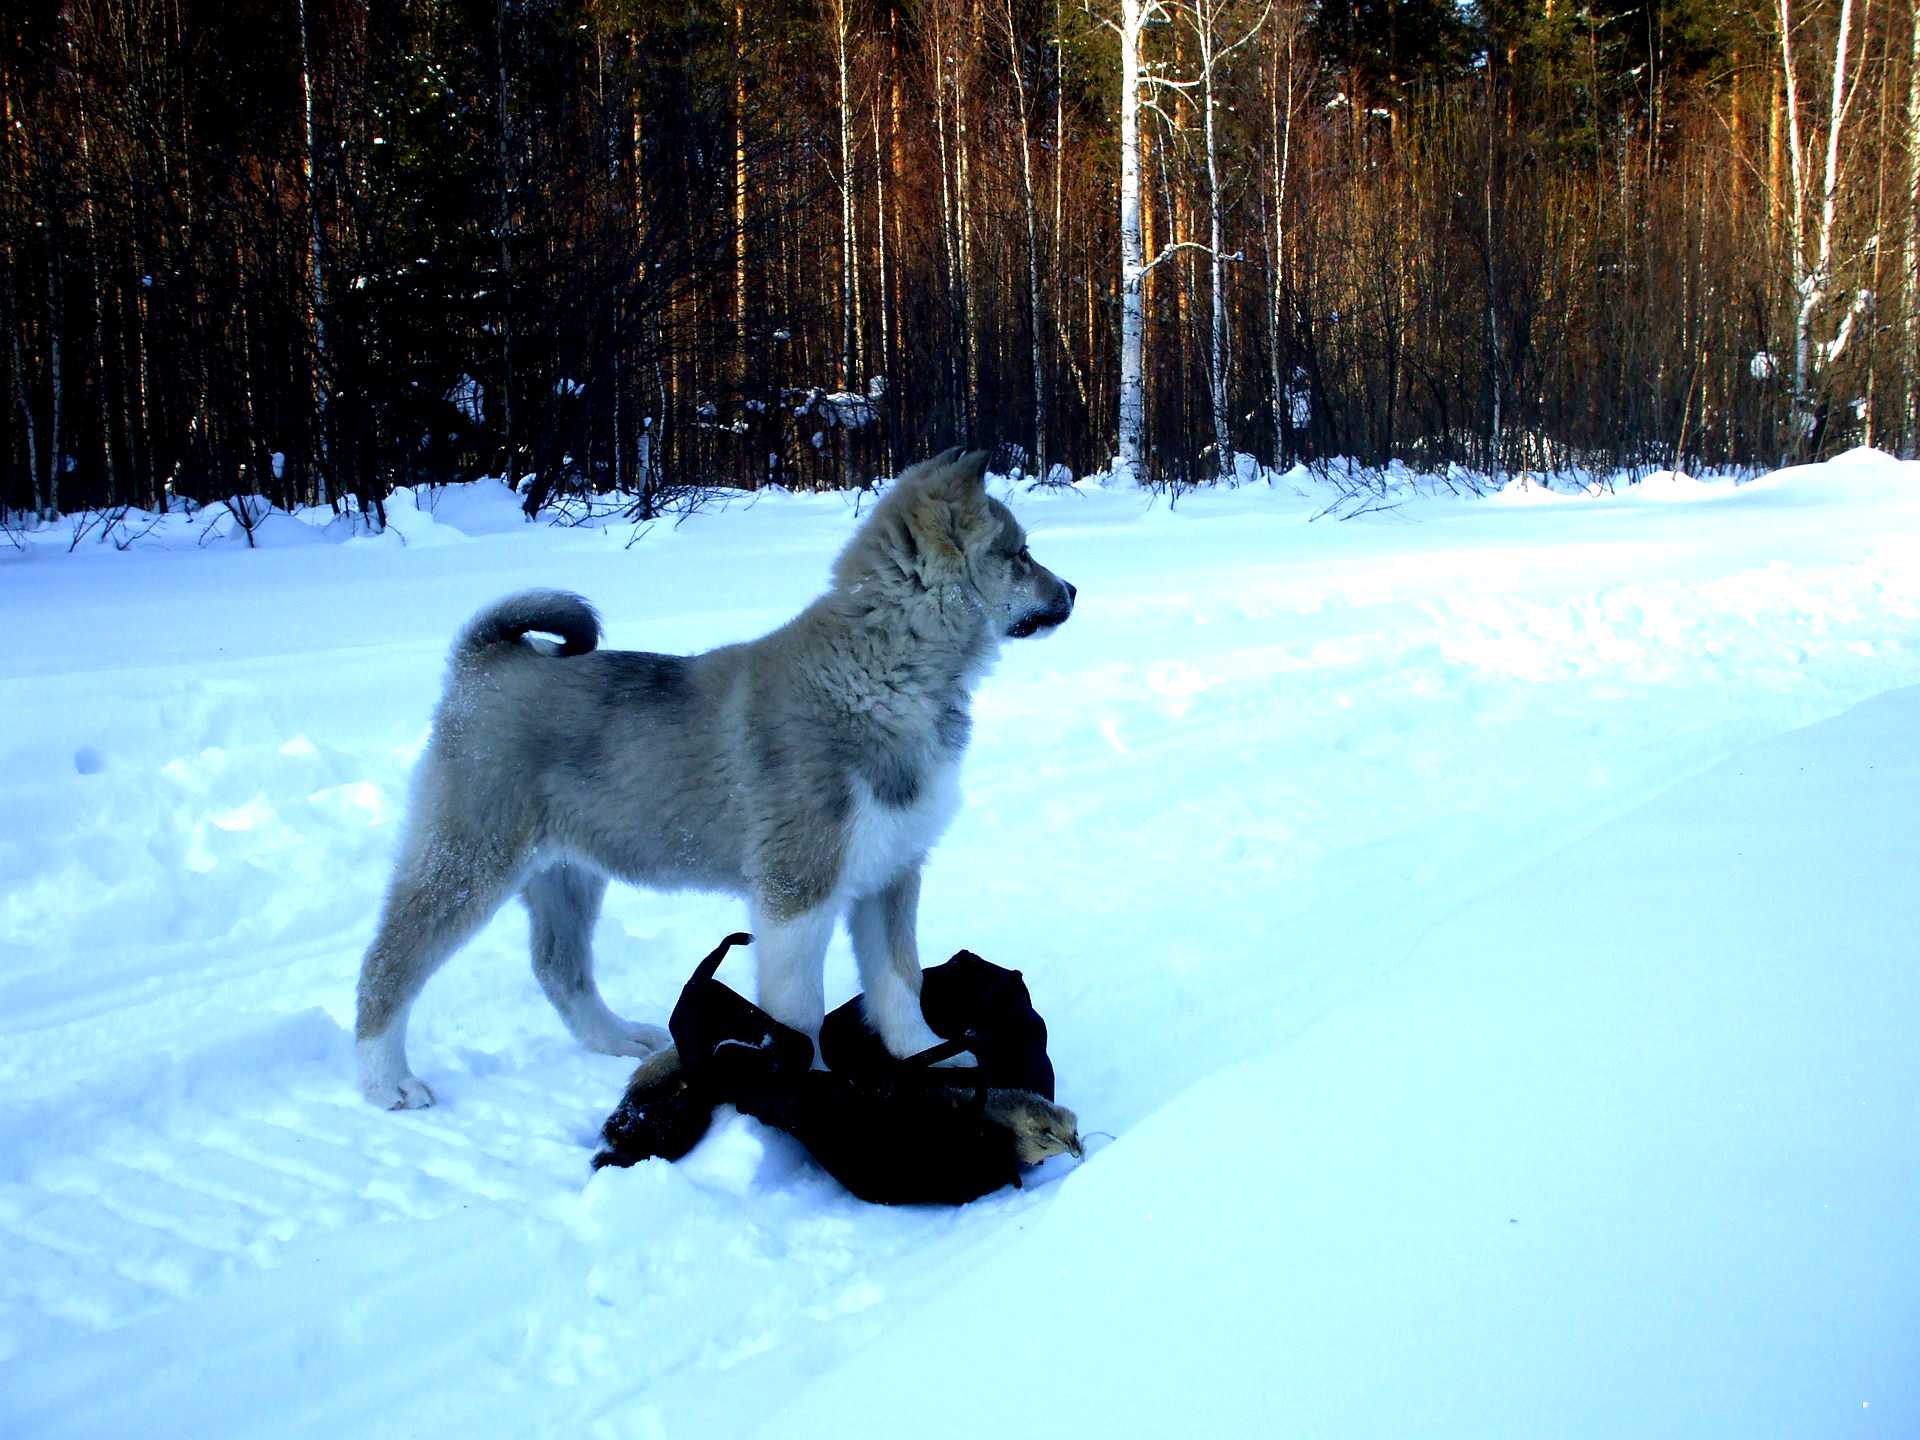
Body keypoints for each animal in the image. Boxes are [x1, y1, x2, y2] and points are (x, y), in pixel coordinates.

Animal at [357, 449, 1082, 1105]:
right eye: (1019, 554)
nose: (1073, 591)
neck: (880, 673)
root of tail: (481, 667)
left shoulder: (891, 874)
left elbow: (899, 983)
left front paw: (926, 1054)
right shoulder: (796, 893)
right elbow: (798, 1013)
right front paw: (806, 1093)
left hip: (568, 871)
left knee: (559, 968)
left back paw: (617, 1038)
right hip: (468, 860)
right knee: (388, 965)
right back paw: (385, 1081)